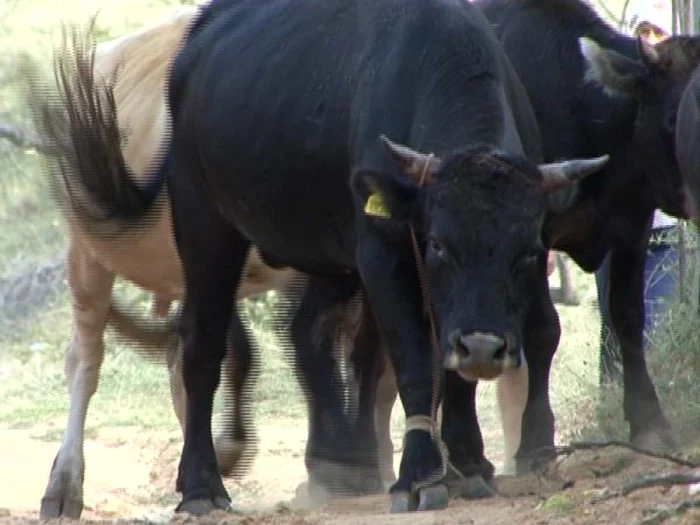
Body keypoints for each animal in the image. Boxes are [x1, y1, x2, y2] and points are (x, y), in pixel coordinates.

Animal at [35, 0, 608, 516]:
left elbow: (445, 367)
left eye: (528, 251)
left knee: (302, 337)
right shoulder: (382, 255)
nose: (487, 348)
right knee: (176, 350)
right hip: (192, 226)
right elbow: (414, 362)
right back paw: (184, 486)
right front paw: (418, 477)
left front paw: (469, 463)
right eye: (440, 244)